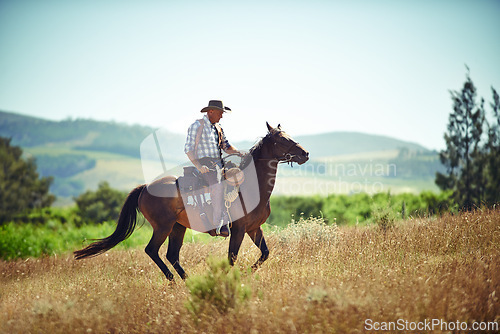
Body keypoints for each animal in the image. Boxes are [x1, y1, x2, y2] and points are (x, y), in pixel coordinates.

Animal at [74, 121, 308, 280]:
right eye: (281, 139)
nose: (305, 153)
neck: (251, 187)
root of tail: (145, 188)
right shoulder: (239, 229)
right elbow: (232, 258)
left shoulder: (253, 228)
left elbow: (264, 254)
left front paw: (247, 273)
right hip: (163, 227)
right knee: (152, 250)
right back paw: (172, 280)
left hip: (178, 227)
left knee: (172, 255)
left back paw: (186, 281)